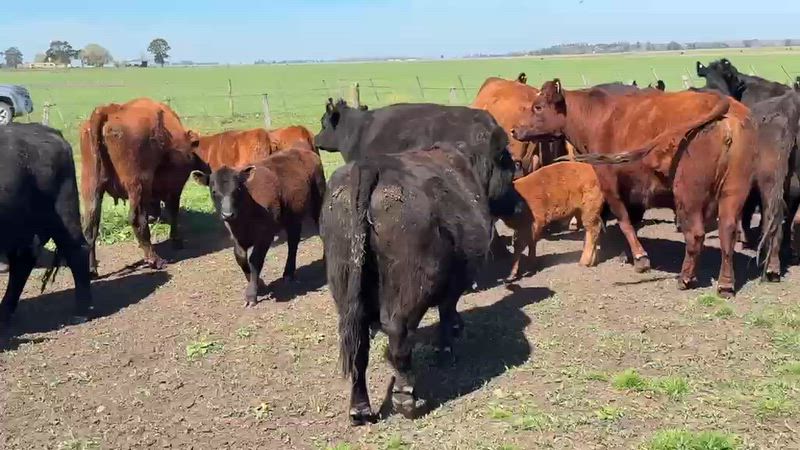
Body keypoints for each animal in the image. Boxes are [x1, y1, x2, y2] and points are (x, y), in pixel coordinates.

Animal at [80, 98, 199, 276]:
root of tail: (110, 110)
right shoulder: (175, 188)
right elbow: (173, 212)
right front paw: (176, 240)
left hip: (91, 186)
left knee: (90, 225)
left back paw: (91, 269)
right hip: (138, 185)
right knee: (136, 219)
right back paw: (156, 260)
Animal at [192, 147, 325, 306]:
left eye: (238, 189)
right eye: (214, 191)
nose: (227, 214)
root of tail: (305, 151)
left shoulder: (265, 234)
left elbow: (255, 260)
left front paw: (251, 294)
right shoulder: (236, 236)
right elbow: (240, 257)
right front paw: (259, 284)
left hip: (318, 201)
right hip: (293, 215)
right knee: (293, 242)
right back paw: (288, 273)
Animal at [322, 140, 517, 425]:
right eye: (511, 172)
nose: (518, 205)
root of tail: (371, 166)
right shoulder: (455, 281)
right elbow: (447, 310)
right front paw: (447, 346)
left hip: (345, 290)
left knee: (358, 345)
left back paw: (360, 408)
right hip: (411, 288)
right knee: (398, 332)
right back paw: (406, 398)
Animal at [512, 79, 757, 296]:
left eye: (538, 107)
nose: (514, 130)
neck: (599, 117)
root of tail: (723, 104)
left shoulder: (610, 184)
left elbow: (625, 222)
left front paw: (640, 258)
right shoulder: (635, 191)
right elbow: (635, 221)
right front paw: (627, 254)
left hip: (689, 195)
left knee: (696, 235)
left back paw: (685, 278)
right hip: (733, 191)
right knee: (727, 231)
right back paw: (725, 285)